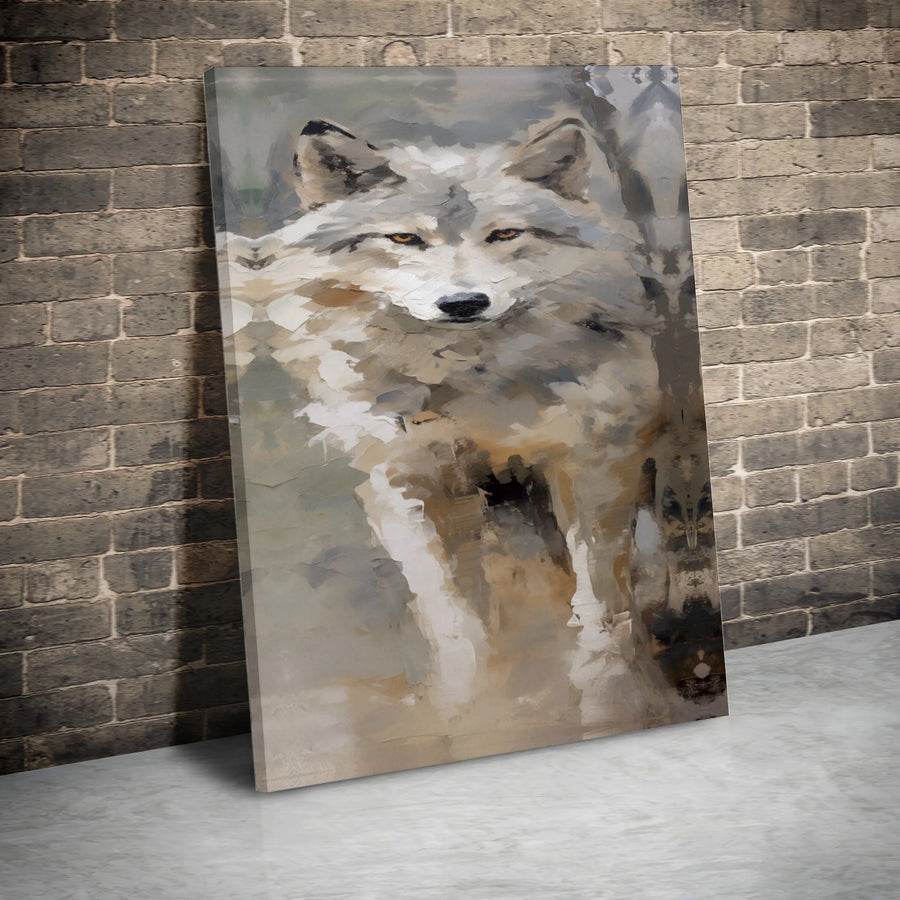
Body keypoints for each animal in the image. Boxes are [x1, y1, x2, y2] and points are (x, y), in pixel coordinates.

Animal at [224, 116, 684, 762]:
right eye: (405, 239)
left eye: (505, 233)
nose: (463, 303)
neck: (471, 391)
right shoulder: (403, 482)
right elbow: (449, 610)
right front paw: (470, 705)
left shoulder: (589, 465)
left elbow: (600, 601)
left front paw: (608, 695)